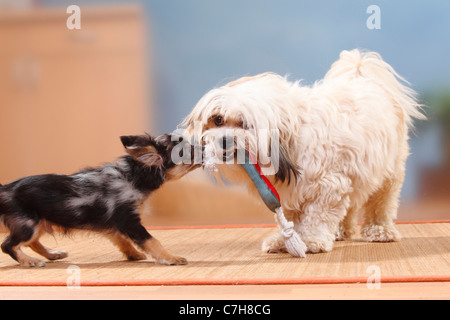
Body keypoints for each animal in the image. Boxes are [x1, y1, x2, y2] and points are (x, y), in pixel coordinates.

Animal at [0, 134, 200, 266]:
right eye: (187, 152)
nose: (204, 148)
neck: (132, 177)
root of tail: (5, 189)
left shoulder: (114, 224)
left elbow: (122, 240)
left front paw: (133, 254)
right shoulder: (129, 220)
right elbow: (151, 241)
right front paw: (170, 258)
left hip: (39, 223)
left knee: (31, 242)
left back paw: (52, 254)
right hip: (29, 224)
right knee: (8, 245)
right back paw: (30, 261)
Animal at [181, 50, 424, 255]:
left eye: (245, 124)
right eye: (218, 119)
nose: (224, 140)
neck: (293, 132)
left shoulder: (328, 186)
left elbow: (316, 217)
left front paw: (310, 241)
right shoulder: (290, 192)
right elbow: (292, 219)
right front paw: (284, 241)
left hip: (388, 172)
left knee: (381, 202)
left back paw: (380, 231)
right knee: (351, 205)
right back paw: (341, 232)